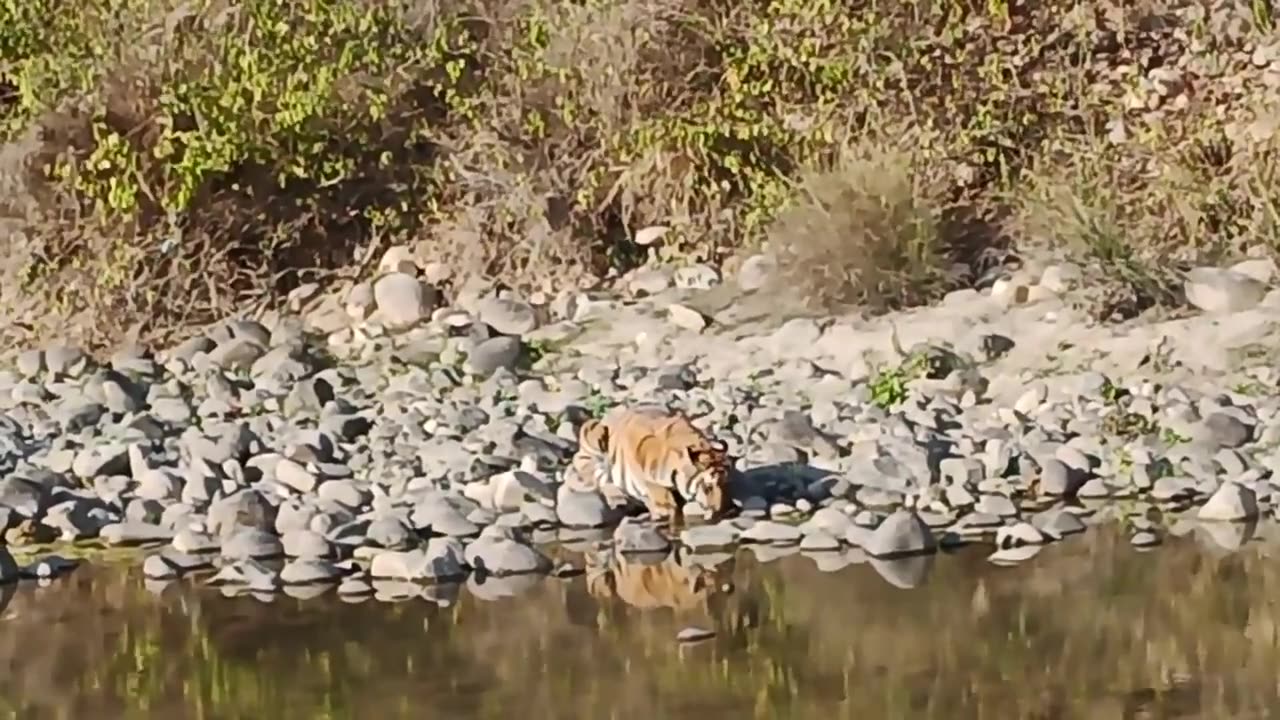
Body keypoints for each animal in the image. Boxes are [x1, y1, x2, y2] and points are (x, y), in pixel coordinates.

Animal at [568, 399, 737, 525]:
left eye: (725, 484)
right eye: (708, 488)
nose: (723, 511)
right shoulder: (657, 489)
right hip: (594, 431)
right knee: (583, 466)